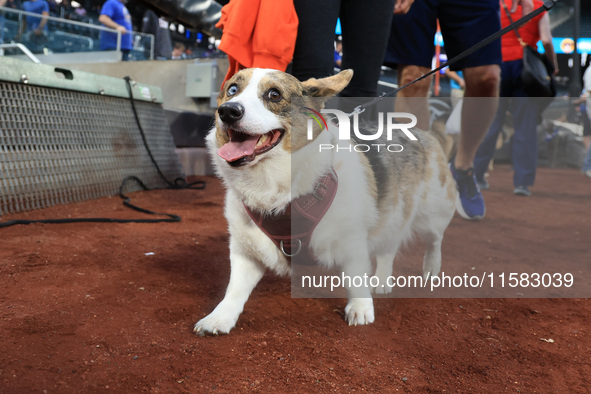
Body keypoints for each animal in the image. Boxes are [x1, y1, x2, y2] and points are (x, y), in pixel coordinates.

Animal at [194, 68, 458, 336]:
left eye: (274, 94)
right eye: (232, 89)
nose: (228, 111)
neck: (273, 187)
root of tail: (424, 132)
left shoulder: (352, 241)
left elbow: (355, 278)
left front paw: (361, 310)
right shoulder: (245, 250)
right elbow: (234, 289)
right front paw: (219, 319)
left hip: (431, 214)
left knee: (434, 240)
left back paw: (431, 269)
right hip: (394, 213)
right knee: (388, 248)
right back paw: (383, 280)